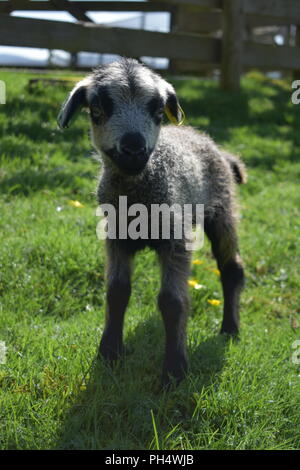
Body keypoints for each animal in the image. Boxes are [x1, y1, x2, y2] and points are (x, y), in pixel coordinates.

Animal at [58, 57, 246, 386]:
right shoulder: (115, 237)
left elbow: (172, 302)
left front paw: (174, 371)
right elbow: (117, 292)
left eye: (158, 112)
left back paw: (229, 329)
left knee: (231, 268)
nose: (134, 148)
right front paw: (109, 353)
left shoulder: (175, 238)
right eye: (98, 110)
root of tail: (217, 148)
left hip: (222, 207)